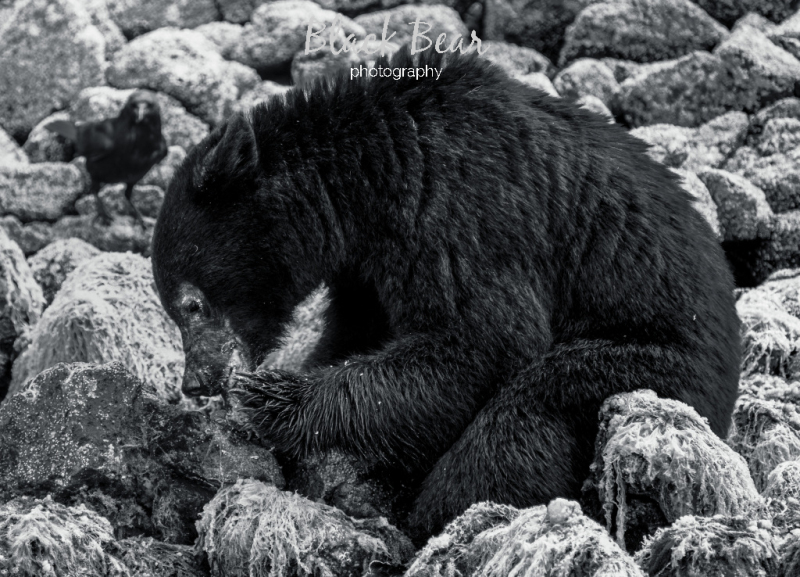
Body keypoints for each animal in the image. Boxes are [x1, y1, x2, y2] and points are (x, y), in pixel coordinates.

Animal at [151, 48, 741, 539]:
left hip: (650, 370)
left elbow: (483, 343)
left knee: (523, 415)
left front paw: (275, 397)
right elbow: (359, 328)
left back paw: (428, 517)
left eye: (191, 304)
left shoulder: (458, 211)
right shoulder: (366, 263)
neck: (372, 175)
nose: (195, 381)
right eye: (175, 309)